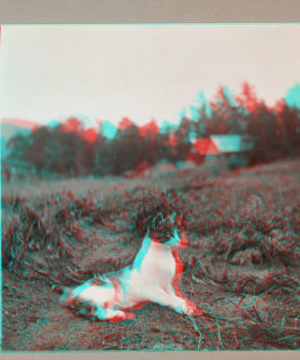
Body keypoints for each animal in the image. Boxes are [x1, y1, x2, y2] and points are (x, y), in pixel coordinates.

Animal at [53, 212, 200, 322]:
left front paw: (188, 305)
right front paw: (188, 308)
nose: (181, 241)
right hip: (108, 289)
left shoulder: (167, 285)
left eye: (178, 234)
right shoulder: (152, 289)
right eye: (169, 235)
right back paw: (125, 316)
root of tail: (73, 290)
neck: (165, 256)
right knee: (96, 312)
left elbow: (176, 297)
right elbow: (169, 298)